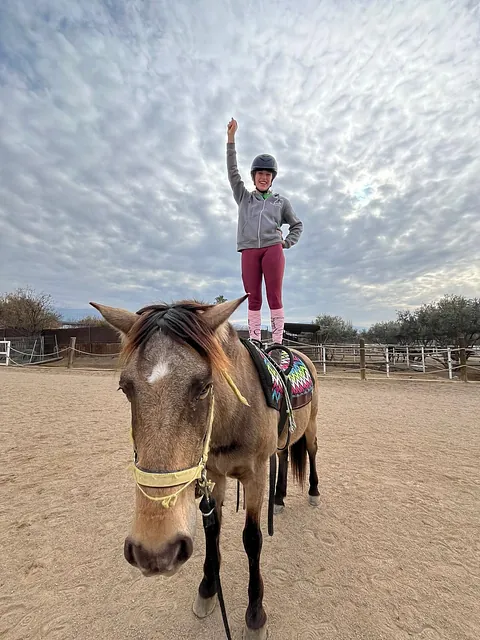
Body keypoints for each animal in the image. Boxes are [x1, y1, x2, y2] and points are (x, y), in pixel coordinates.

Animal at [90, 296, 320, 640]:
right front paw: (208, 589)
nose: (155, 550)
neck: (235, 414)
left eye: (203, 386)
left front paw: (255, 615)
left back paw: (314, 492)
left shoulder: (255, 476)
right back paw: (278, 499)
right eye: (125, 388)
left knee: (313, 453)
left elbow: (252, 539)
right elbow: (212, 530)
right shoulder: (214, 474)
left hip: (312, 426)